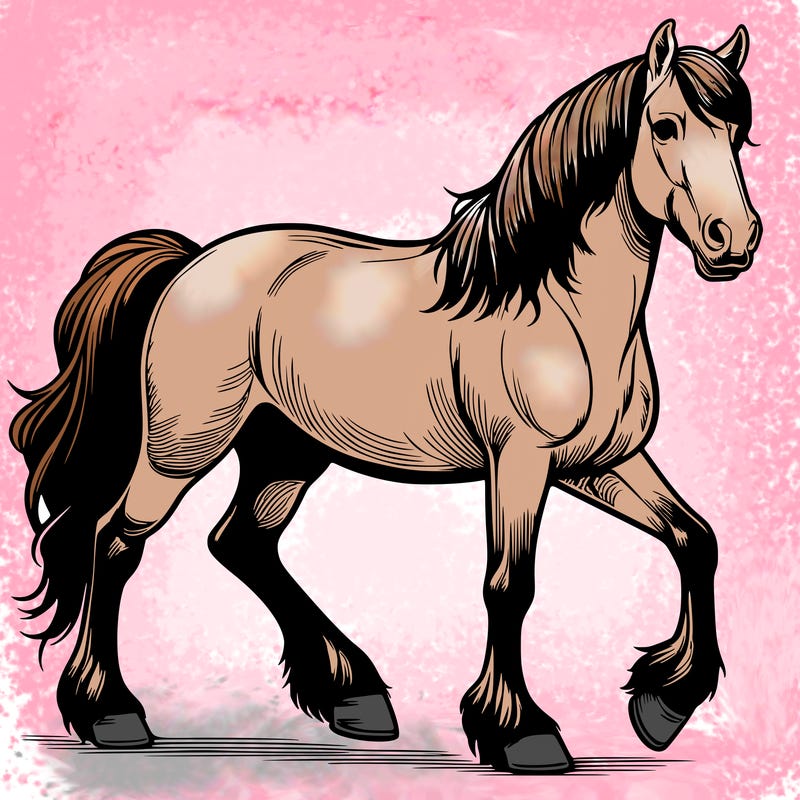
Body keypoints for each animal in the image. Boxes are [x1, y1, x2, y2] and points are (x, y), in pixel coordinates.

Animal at [10, 20, 760, 773]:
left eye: (739, 132)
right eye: (664, 126)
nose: (735, 240)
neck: (558, 309)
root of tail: (190, 262)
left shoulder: (600, 463)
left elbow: (696, 539)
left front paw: (663, 705)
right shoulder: (520, 462)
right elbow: (509, 585)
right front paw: (522, 733)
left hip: (286, 451)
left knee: (242, 542)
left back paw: (354, 696)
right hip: (181, 448)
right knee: (115, 542)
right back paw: (112, 714)